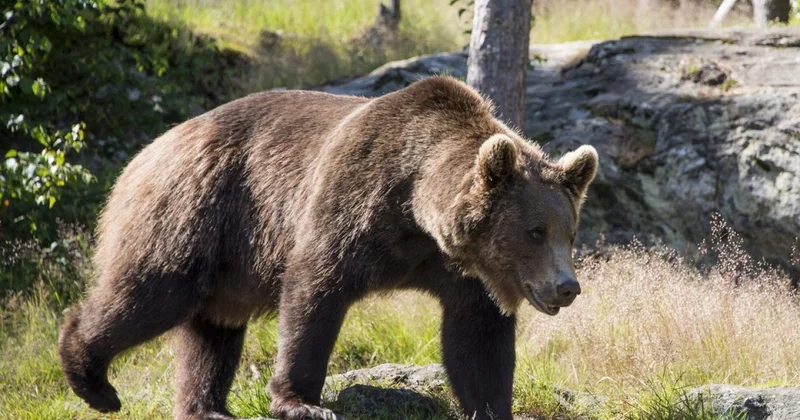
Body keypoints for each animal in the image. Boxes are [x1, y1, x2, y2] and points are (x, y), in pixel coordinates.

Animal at [58, 76, 598, 420]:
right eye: (535, 231)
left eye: (569, 231)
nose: (567, 287)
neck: (414, 211)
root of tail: (149, 149)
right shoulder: (350, 204)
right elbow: (314, 294)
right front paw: (302, 402)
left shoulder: (461, 270)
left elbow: (477, 339)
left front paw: (492, 406)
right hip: (194, 212)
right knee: (152, 293)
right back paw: (93, 380)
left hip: (224, 261)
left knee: (213, 330)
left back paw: (206, 409)